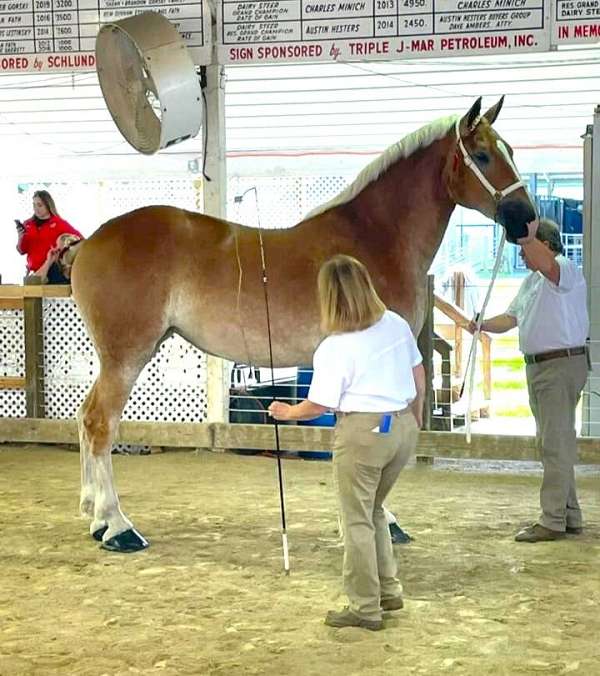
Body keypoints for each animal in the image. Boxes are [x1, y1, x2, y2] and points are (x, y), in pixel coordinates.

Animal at [69, 96, 536, 548]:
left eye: (511, 152)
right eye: (483, 155)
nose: (526, 219)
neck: (374, 238)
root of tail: (89, 243)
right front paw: (381, 519)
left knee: (84, 417)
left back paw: (93, 513)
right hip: (126, 356)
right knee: (98, 423)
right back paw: (117, 525)